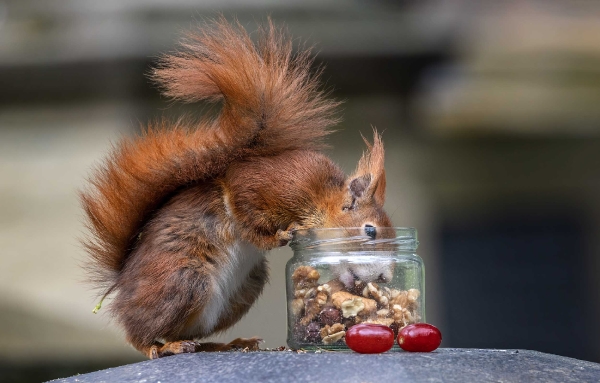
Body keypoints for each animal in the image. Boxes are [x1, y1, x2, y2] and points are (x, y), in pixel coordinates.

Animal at [82, 18, 392, 360]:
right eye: (370, 231)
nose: (385, 277)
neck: (319, 197)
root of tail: (123, 287)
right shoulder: (258, 187)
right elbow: (245, 218)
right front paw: (280, 236)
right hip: (184, 280)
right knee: (141, 334)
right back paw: (160, 345)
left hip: (240, 292)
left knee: (191, 336)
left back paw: (226, 343)